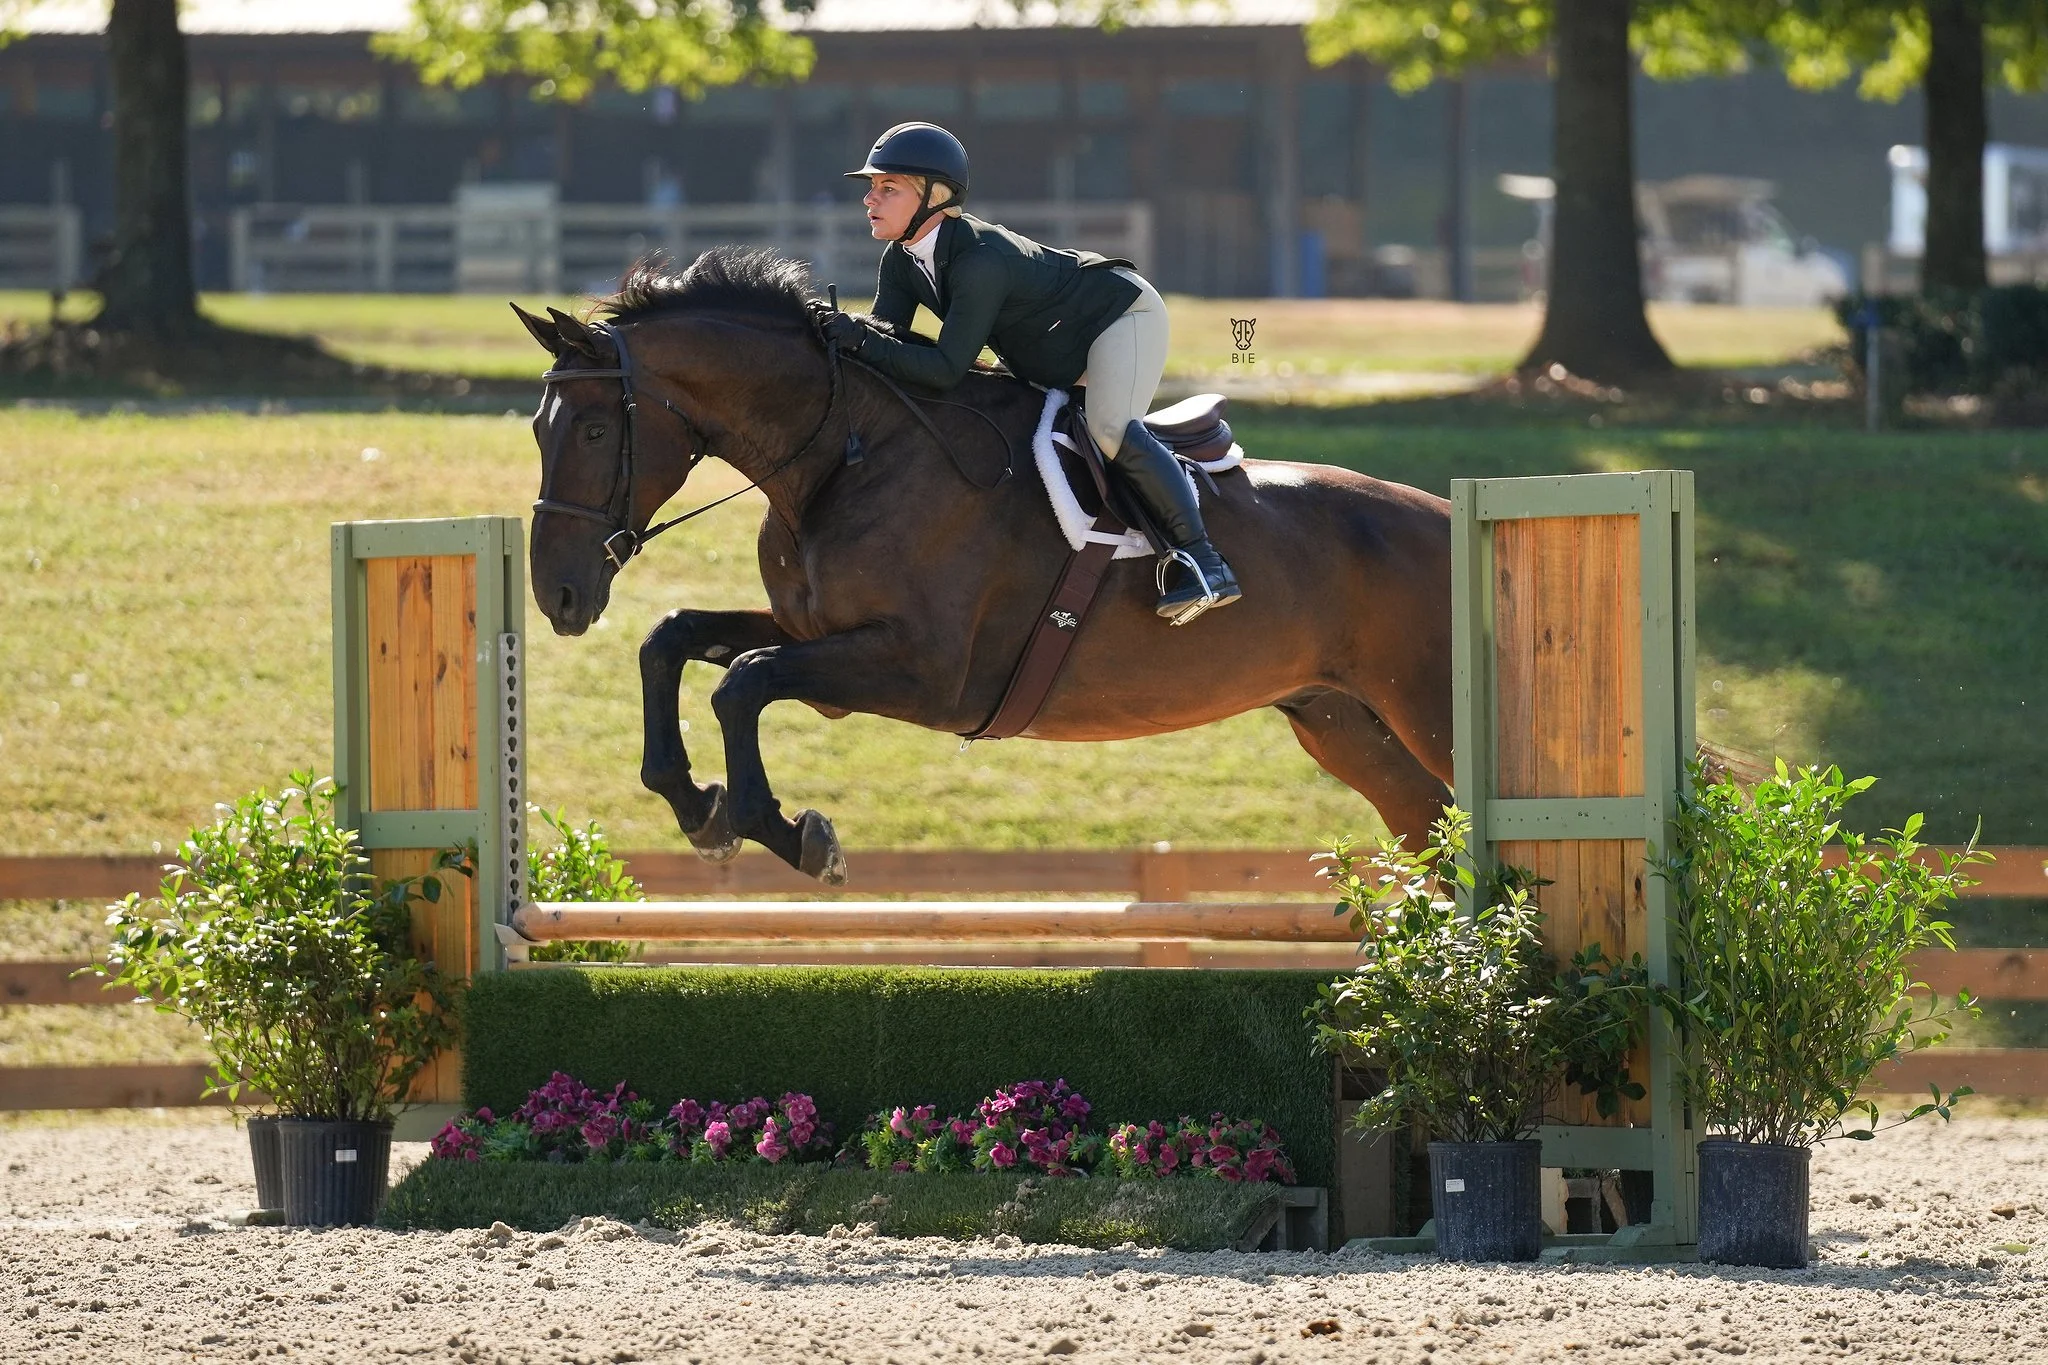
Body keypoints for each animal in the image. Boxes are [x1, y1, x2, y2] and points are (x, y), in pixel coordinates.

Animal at [513, 248, 1454, 885]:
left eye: (593, 429)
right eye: (535, 428)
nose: (558, 595)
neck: (846, 455)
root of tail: (1450, 517)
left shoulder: (928, 674)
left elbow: (742, 680)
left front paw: (795, 836)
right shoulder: (817, 635)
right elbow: (674, 642)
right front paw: (697, 806)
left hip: (1426, 713)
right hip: (1343, 725)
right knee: (1441, 841)